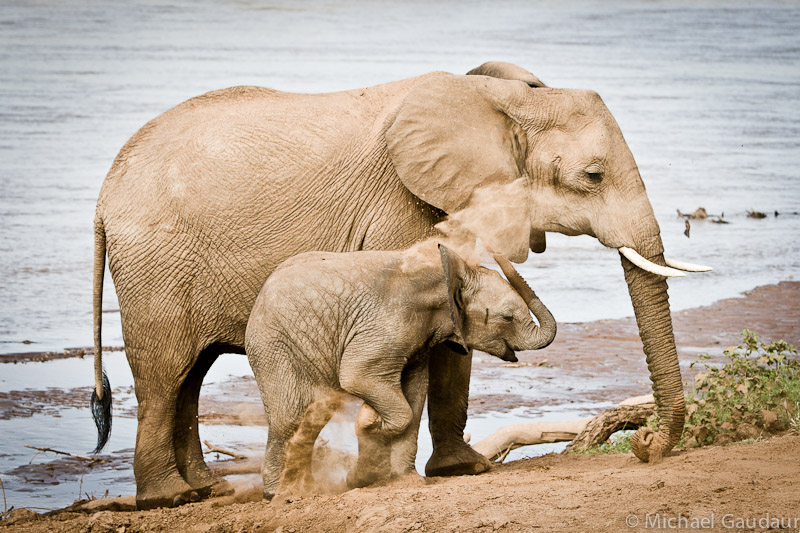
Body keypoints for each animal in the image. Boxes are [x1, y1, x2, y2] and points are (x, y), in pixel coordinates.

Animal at [245, 239, 556, 496]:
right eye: (507, 318)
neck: (447, 276)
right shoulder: (388, 325)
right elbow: (358, 376)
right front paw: (366, 429)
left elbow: (414, 398)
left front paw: (404, 481)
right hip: (274, 345)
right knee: (291, 418)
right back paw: (283, 493)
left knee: (313, 415)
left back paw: (304, 488)